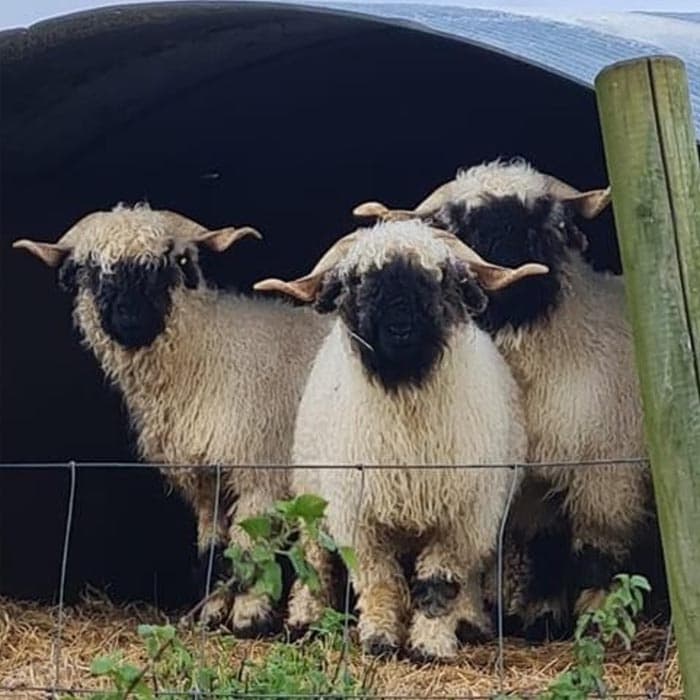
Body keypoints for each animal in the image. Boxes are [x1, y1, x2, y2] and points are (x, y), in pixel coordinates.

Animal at [13, 204, 332, 635]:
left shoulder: (259, 471)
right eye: (89, 270)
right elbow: (214, 550)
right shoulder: (205, 478)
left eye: (170, 263)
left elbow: (252, 547)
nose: (129, 319)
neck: (207, 356)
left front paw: (248, 616)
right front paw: (212, 614)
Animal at [254, 220, 548, 660]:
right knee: (314, 557)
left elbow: (440, 583)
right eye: (358, 279)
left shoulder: (462, 517)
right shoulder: (359, 516)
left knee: (471, 572)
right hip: (311, 493)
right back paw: (305, 619)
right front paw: (380, 640)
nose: (399, 329)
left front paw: (431, 645)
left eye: (439, 276)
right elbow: (379, 582)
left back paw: (471, 622)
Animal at [353, 158, 650, 633]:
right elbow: (544, 543)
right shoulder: (530, 477)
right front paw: (543, 615)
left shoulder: (606, 470)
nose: (508, 274)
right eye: (462, 227)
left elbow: (595, 551)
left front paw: (595, 620)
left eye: (543, 223)